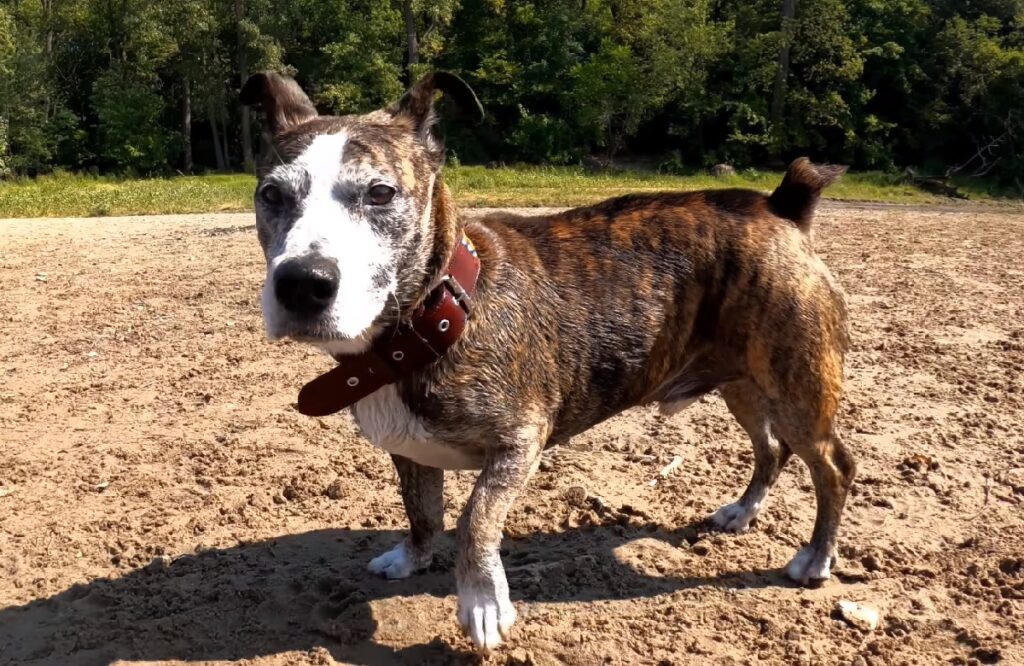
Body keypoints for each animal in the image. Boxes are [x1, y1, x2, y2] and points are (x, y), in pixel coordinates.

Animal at [241, 70, 856, 651]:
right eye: (271, 195)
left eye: (379, 193)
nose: (302, 282)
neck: (433, 314)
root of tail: (781, 206)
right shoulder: (409, 448)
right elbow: (423, 510)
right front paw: (413, 557)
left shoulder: (520, 442)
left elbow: (474, 518)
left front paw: (482, 601)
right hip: (744, 383)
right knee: (771, 449)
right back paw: (743, 511)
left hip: (799, 389)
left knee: (833, 467)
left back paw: (815, 558)